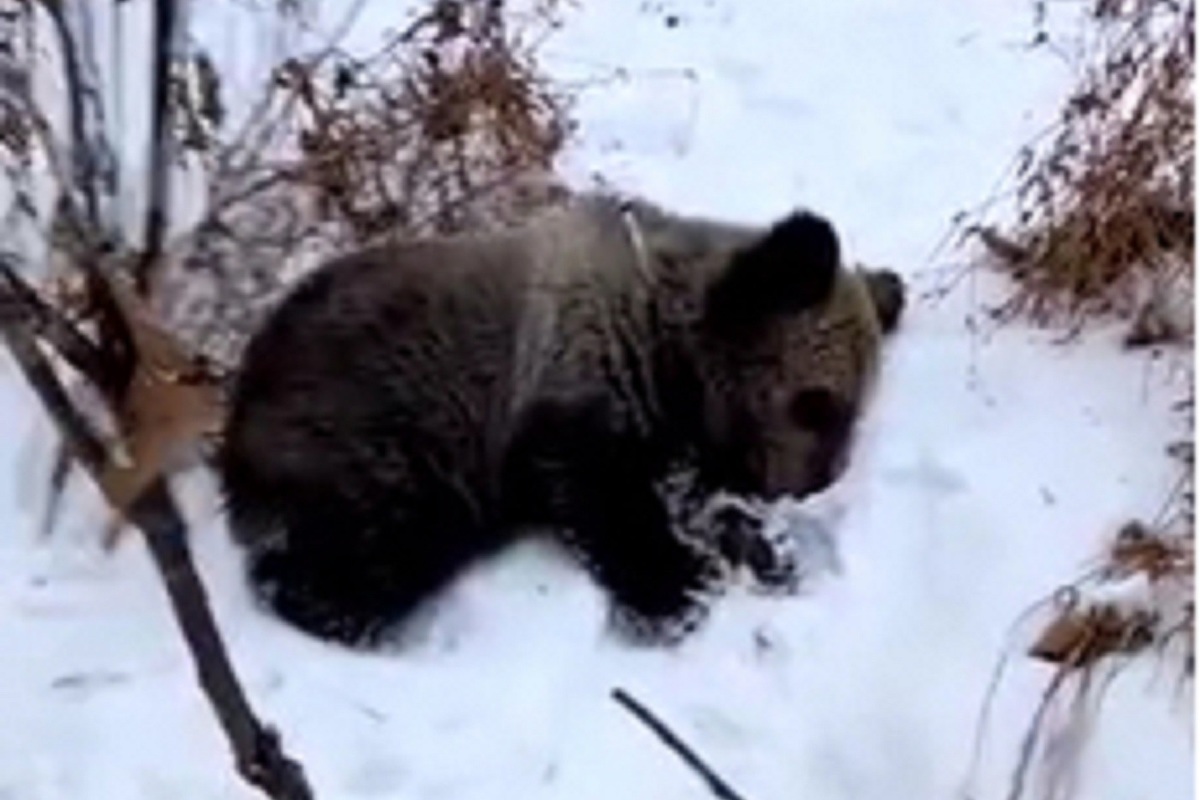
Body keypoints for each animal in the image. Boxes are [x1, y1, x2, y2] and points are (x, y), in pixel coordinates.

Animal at [218, 190, 907, 647]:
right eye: (816, 404)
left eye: (857, 411)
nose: (815, 483)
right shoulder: (574, 371)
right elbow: (593, 490)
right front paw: (676, 590)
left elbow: (697, 493)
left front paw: (764, 550)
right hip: (372, 433)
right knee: (379, 545)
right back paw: (328, 599)